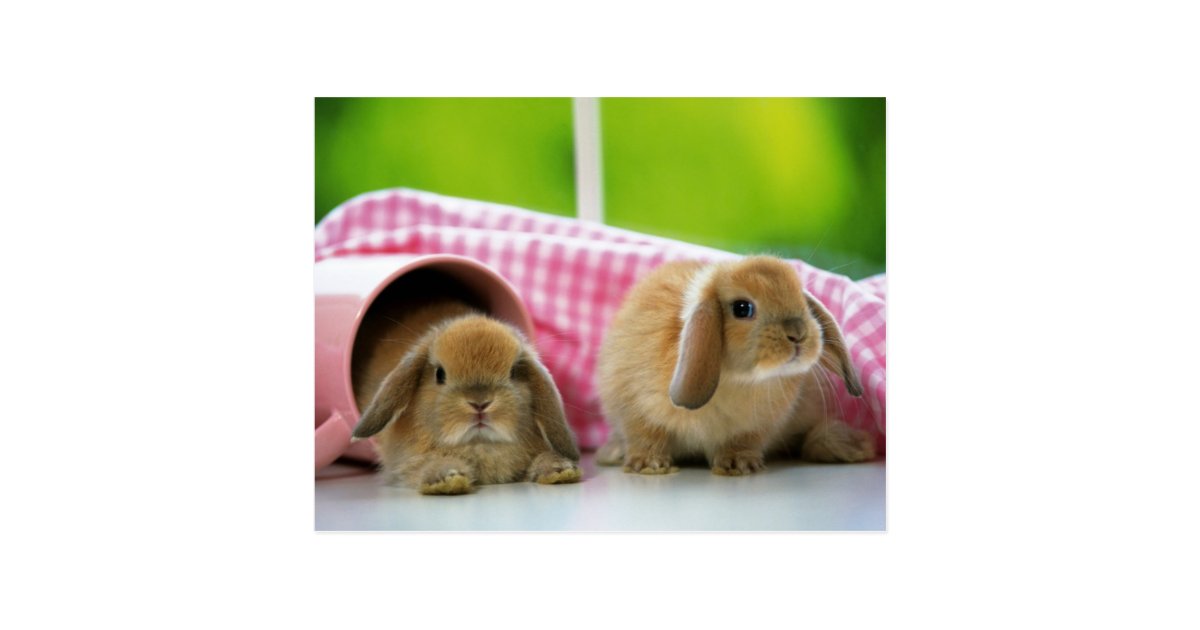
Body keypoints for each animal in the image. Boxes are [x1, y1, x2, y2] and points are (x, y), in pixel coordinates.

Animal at [351, 312, 582, 495]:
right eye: (439, 374)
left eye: (514, 372)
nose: (480, 403)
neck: (479, 443)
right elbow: (425, 466)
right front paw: (447, 479)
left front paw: (560, 470)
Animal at [594, 256, 874, 476]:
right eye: (742, 308)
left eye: (803, 303)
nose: (798, 333)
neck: (736, 379)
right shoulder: (634, 409)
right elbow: (646, 436)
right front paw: (648, 464)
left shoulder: (756, 427)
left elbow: (743, 442)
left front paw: (738, 464)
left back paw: (850, 447)